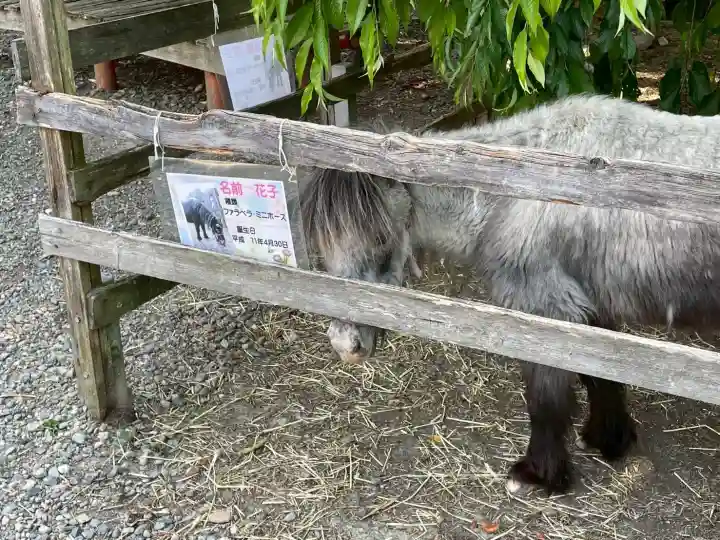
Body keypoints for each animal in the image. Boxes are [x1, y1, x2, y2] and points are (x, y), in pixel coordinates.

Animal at [299, 93, 720, 496]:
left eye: (382, 238)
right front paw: (607, 440)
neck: (512, 189)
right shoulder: (588, 310)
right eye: (324, 244)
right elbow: (601, 378)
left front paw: (538, 474)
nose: (346, 345)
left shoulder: (549, 314)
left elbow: (546, 400)